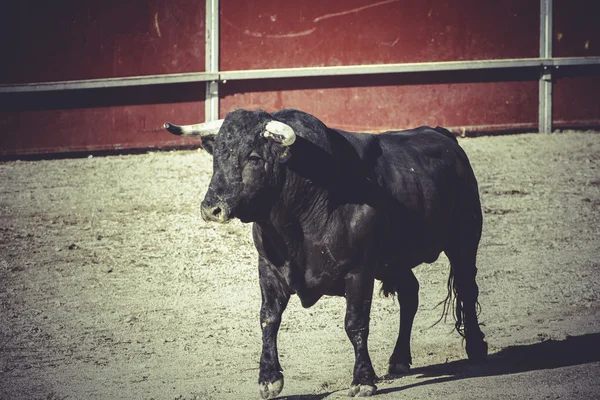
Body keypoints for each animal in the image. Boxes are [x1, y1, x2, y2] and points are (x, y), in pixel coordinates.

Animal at [164, 108, 488, 398]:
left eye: (254, 157)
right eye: (217, 155)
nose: (212, 208)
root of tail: (441, 133)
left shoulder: (359, 271)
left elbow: (355, 324)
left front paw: (363, 380)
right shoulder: (268, 268)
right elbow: (268, 318)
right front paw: (269, 379)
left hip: (464, 238)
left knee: (467, 288)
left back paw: (475, 347)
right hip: (393, 261)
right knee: (410, 293)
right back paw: (399, 359)